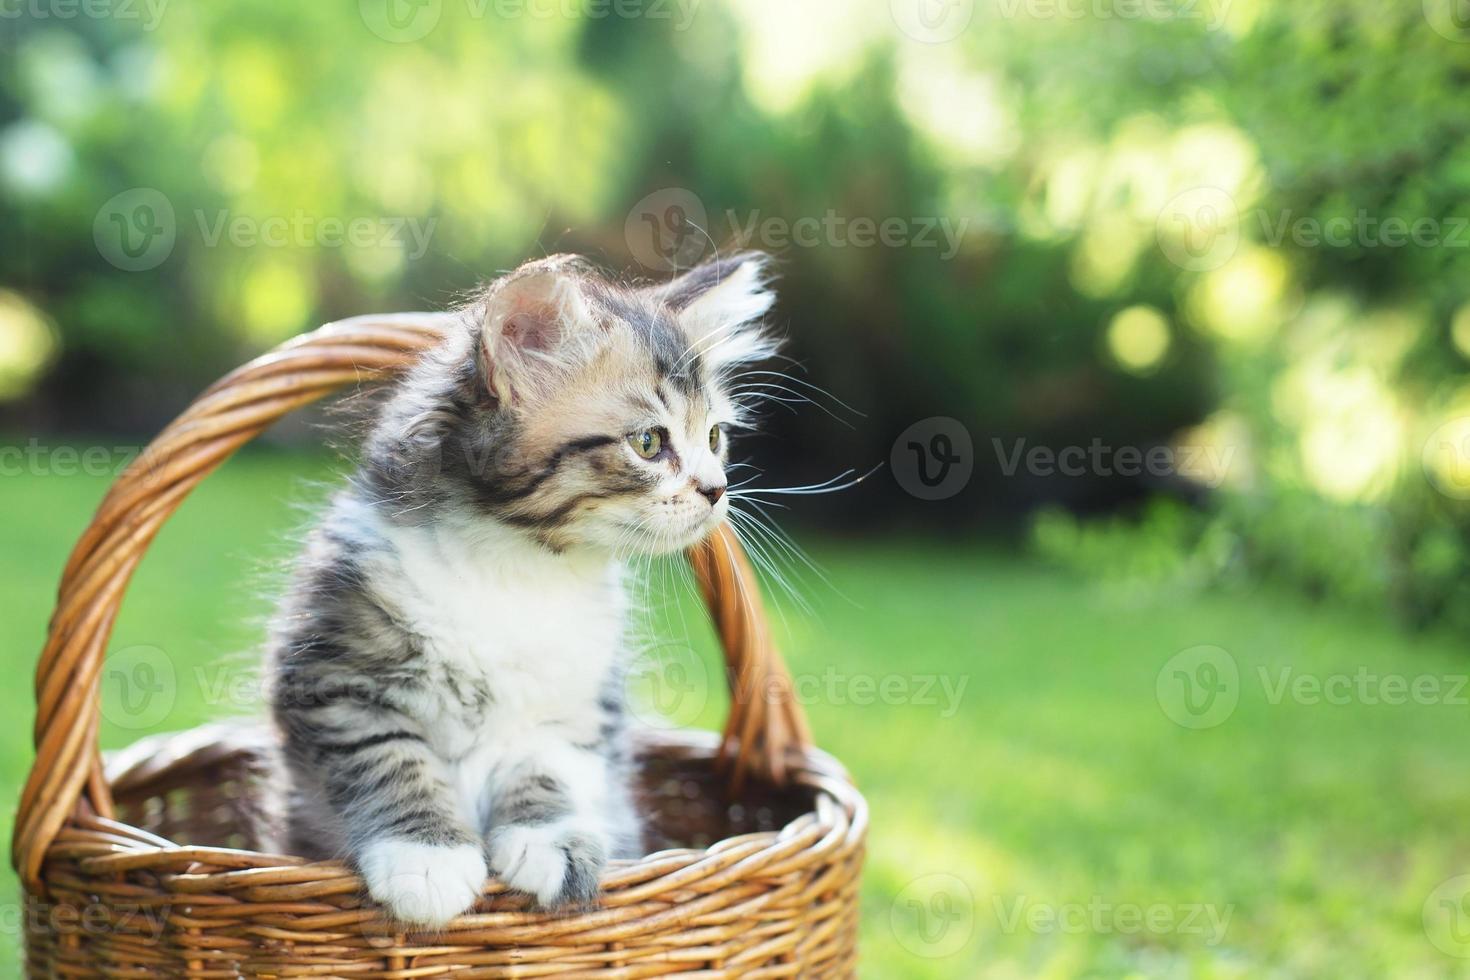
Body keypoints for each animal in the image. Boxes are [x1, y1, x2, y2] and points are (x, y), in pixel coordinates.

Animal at [264, 252, 776, 928]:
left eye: (715, 438)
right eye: (649, 443)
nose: (718, 490)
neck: (522, 566)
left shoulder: (576, 704)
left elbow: (545, 767)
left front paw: (551, 842)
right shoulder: (332, 671)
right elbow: (392, 757)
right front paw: (426, 857)